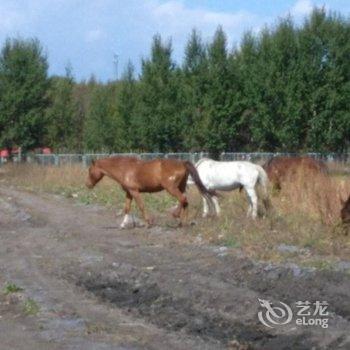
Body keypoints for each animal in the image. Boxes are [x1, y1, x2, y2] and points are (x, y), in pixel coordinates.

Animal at [86, 156, 215, 227]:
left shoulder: (135, 191)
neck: (125, 169)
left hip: (171, 188)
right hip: (181, 187)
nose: (87, 185)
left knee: (182, 199)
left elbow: (141, 206)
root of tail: (182, 163)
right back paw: (183, 222)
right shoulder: (129, 192)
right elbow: (127, 208)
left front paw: (148, 223)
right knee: (184, 202)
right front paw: (122, 224)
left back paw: (176, 216)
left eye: (90, 170)